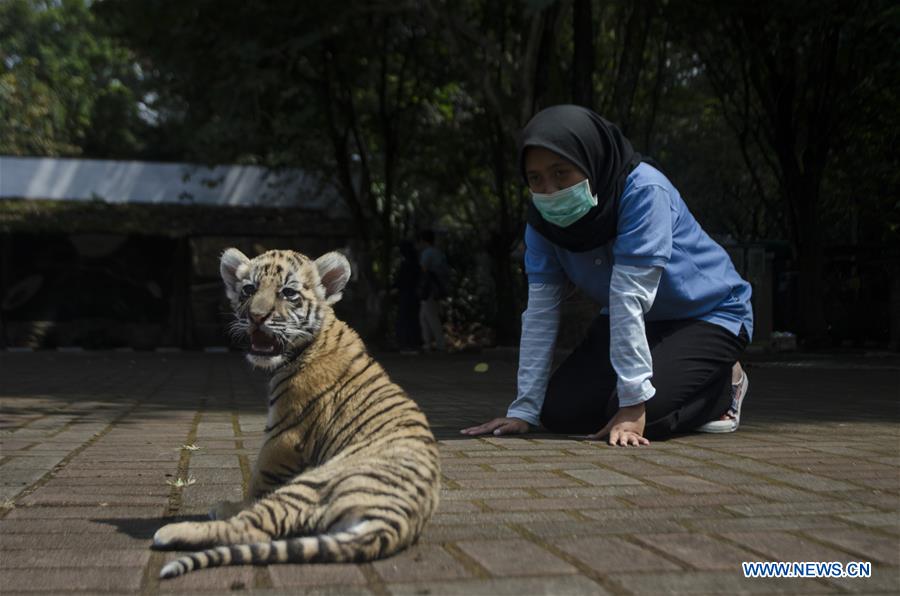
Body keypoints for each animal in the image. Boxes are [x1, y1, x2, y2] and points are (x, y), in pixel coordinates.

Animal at [152, 248, 440, 579]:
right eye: (248, 289)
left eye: (288, 293)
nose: (256, 317)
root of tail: (395, 523)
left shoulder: (284, 434)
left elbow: (259, 480)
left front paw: (238, 504)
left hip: (311, 484)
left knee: (252, 529)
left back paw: (174, 530)